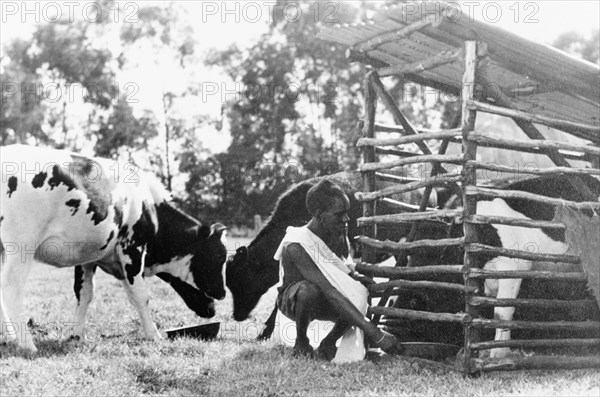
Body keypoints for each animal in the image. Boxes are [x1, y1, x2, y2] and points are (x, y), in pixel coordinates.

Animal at [1, 144, 226, 352]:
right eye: (217, 256)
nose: (222, 294)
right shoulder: (132, 248)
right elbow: (140, 295)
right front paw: (153, 335)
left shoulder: (89, 256)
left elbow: (84, 293)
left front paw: (77, 335)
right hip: (21, 246)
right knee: (11, 287)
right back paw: (27, 344)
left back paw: (8, 338)